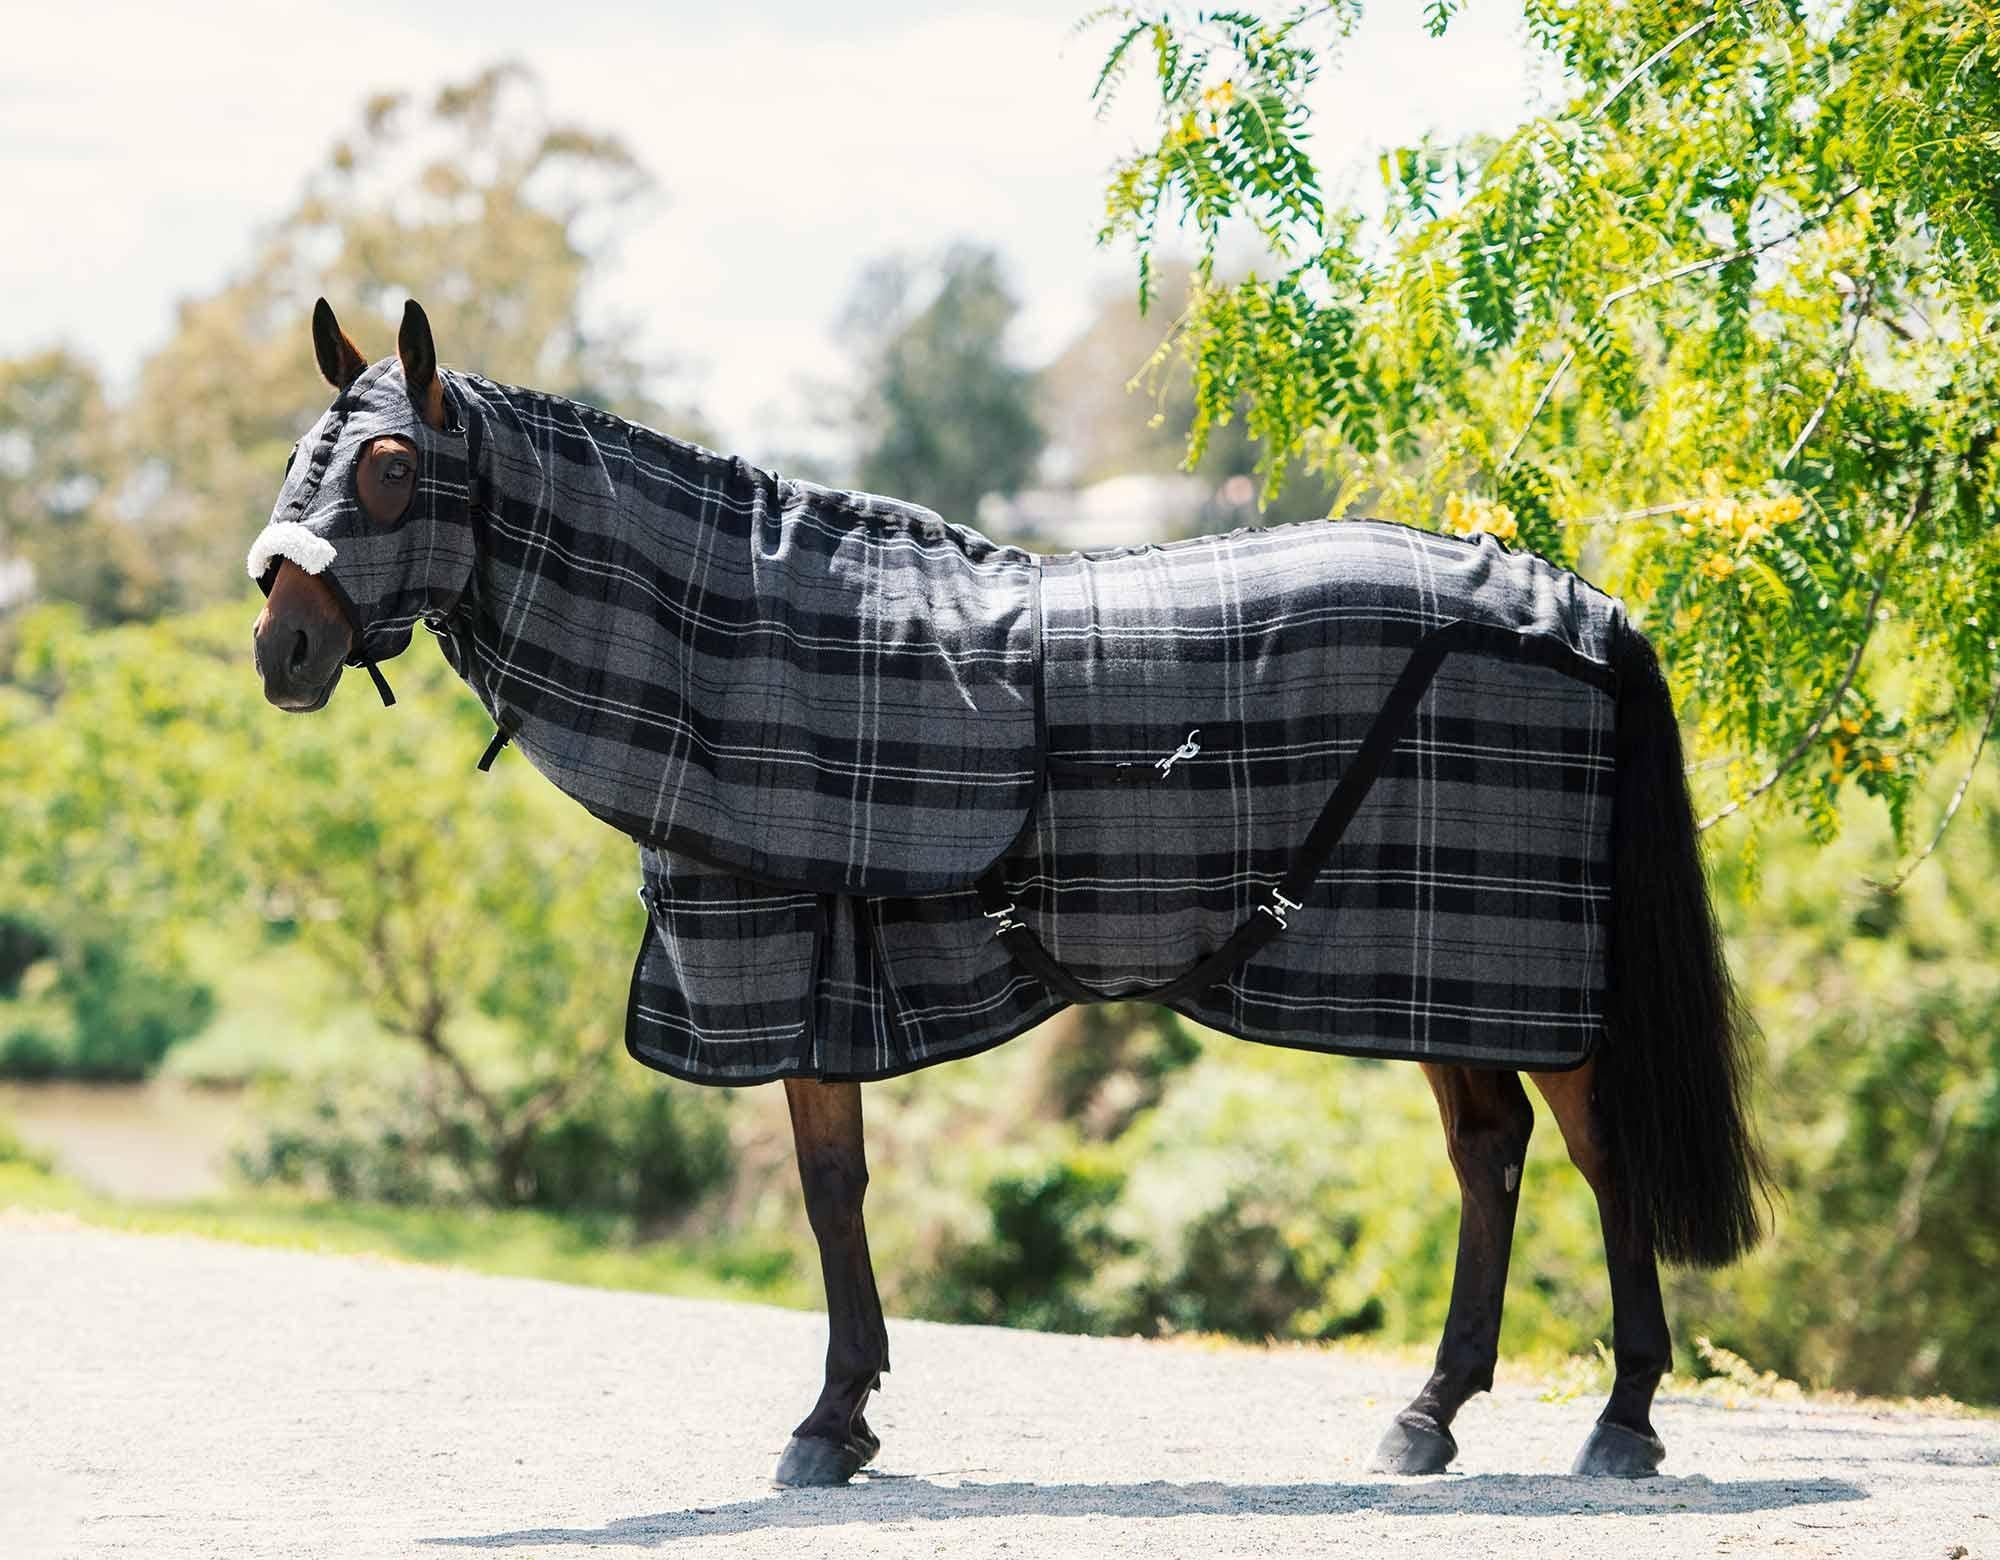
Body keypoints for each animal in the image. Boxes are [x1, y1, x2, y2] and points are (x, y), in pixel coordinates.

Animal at [250, 297, 1766, 1488]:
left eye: (388, 465)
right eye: (301, 457)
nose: (281, 648)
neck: (751, 645)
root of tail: (1573, 608)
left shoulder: (791, 962)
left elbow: (828, 1192)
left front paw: (827, 1422)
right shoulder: (827, 979)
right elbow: (841, 1185)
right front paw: (850, 1414)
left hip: (1529, 983)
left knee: (1596, 1152)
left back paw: (1622, 1420)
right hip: (1439, 977)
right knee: (1488, 1153)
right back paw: (1428, 1415)